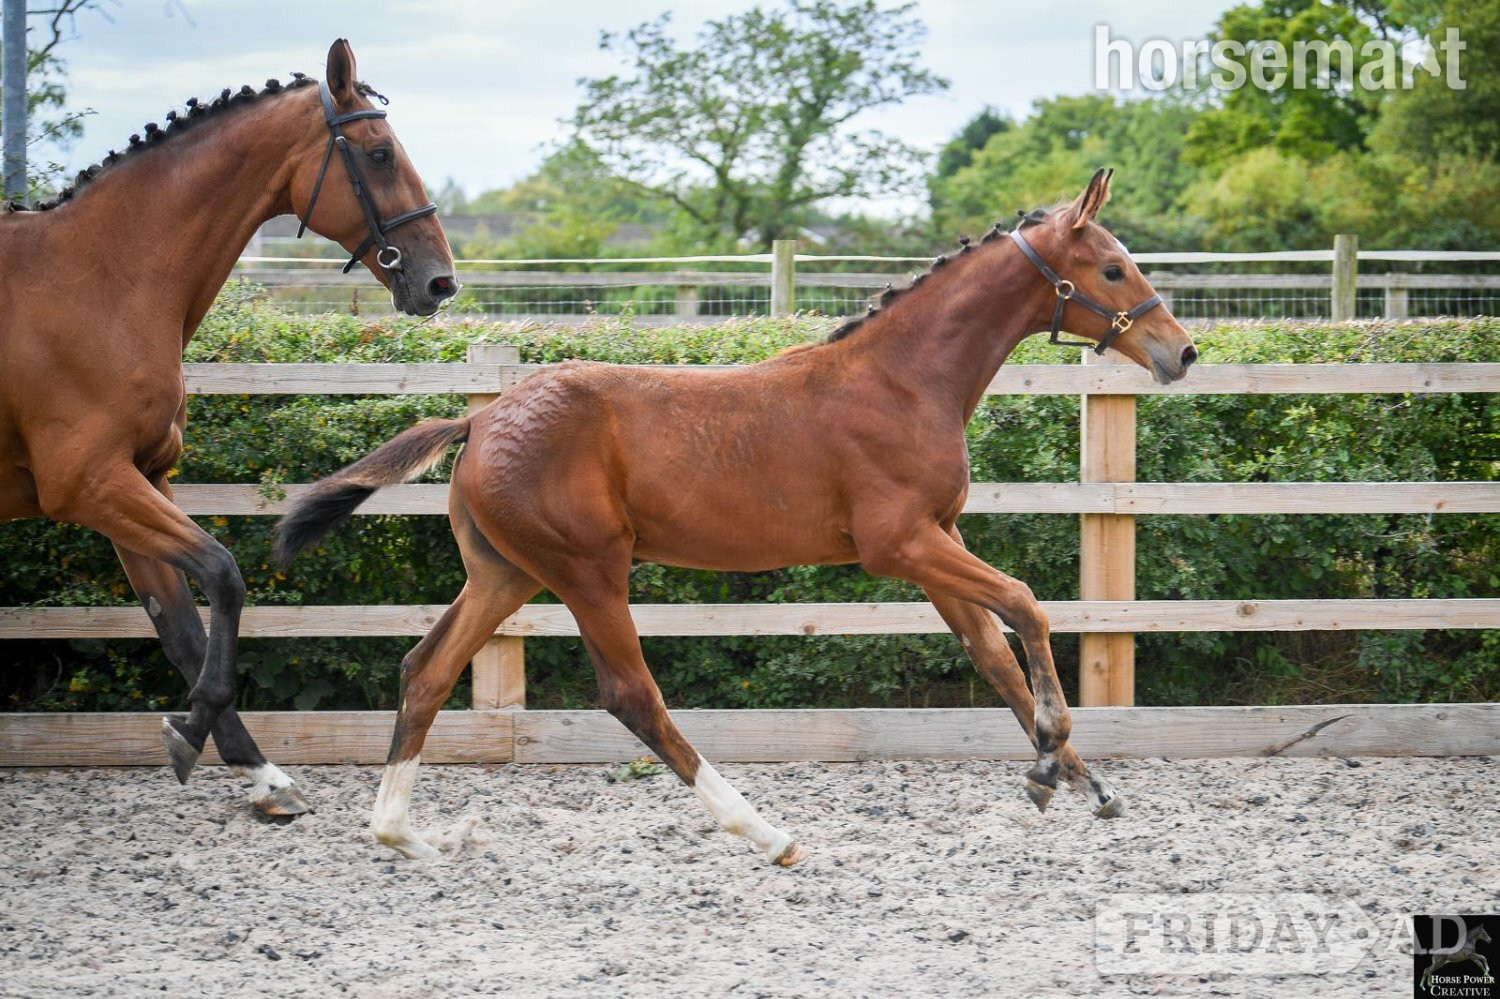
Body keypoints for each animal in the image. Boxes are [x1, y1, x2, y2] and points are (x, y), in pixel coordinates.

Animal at [0, 40, 456, 817]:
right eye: (378, 153)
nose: (440, 282)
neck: (98, 282)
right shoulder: (89, 484)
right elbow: (225, 574)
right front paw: (192, 733)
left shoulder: (139, 481)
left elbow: (181, 625)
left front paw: (259, 772)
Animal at [276, 168, 1196, 864]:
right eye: (1113, 269)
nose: (1181, 351)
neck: (902, 380)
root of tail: (479, 420)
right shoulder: (899, 544)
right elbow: (1027, 605)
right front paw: (1051, 759)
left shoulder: (938, 540)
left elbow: (995, 653)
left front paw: (1078, 779)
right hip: (587, 570)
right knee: (632, 696)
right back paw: (767, 831)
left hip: (505, 573)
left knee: (425, 670)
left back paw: (401, 832)